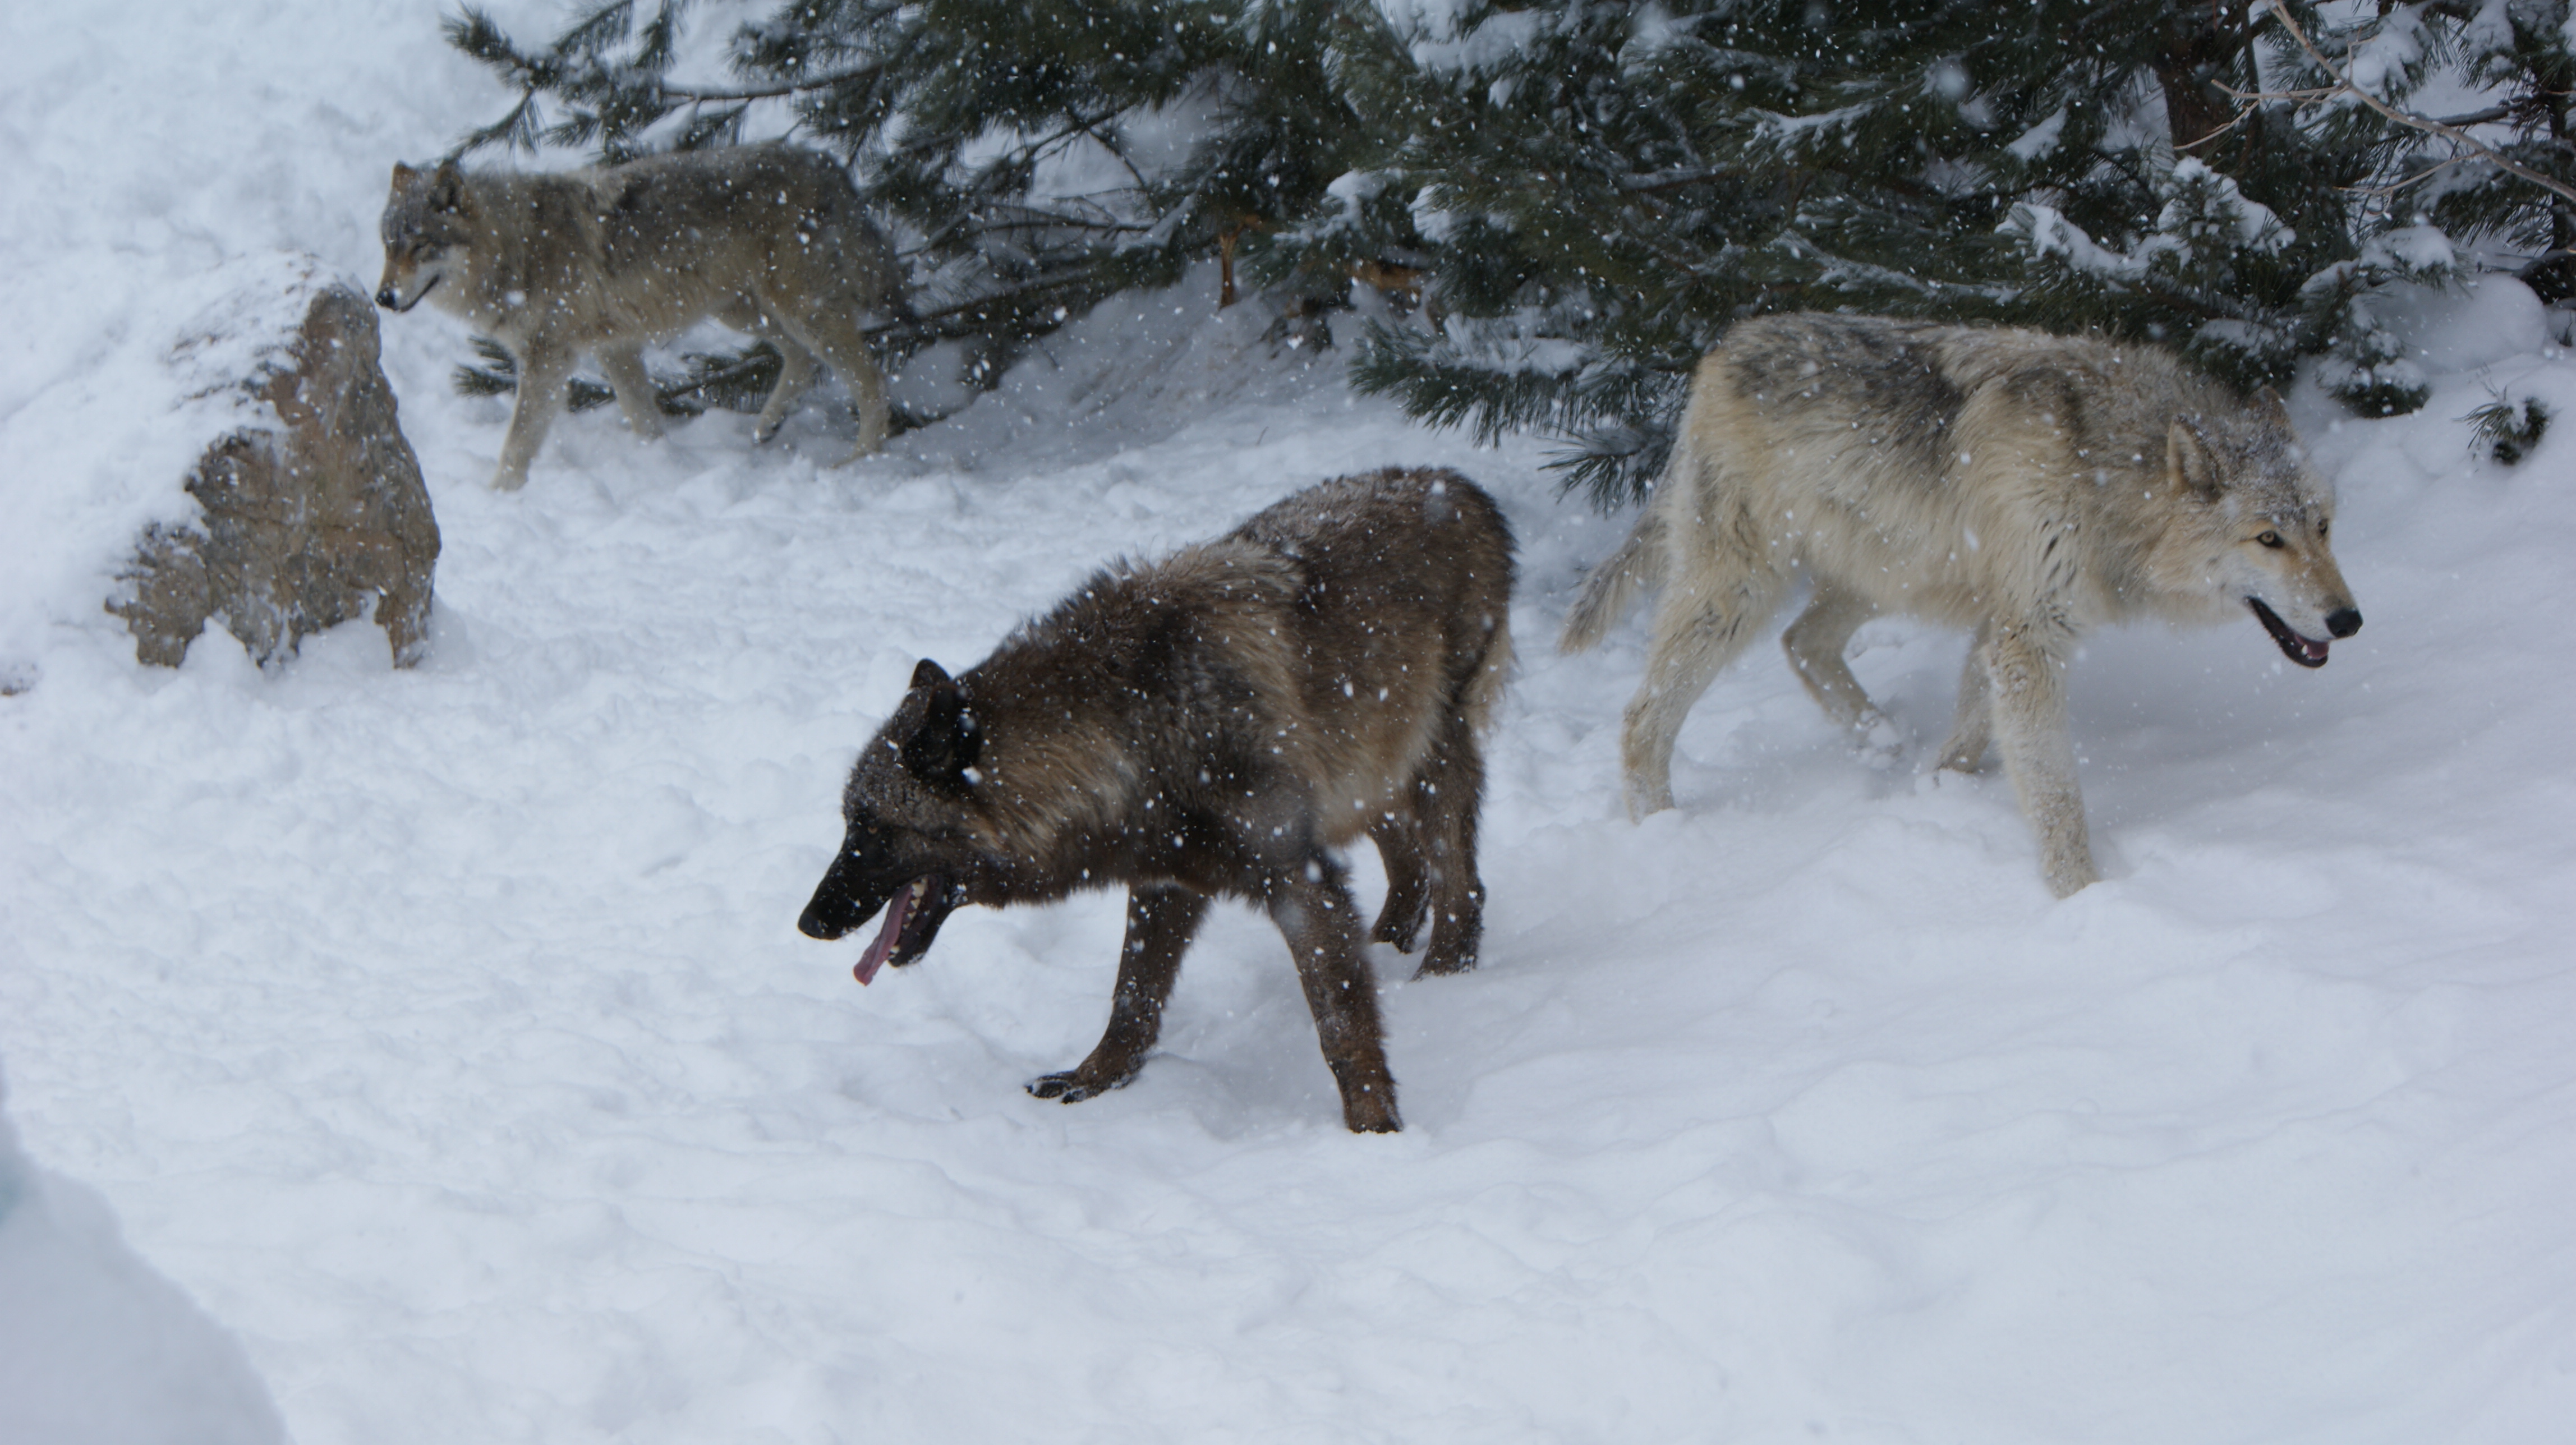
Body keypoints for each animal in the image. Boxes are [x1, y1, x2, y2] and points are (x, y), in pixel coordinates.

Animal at [373, 142, 896, 489]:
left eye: (420, 246)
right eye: (388, 246)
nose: (382, 298)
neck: (516, 250)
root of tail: (825, 161)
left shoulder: (548, 360)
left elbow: (516, 442)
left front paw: (500, 497)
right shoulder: (615, 348)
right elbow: (644, 419)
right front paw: (663, 465)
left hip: (798, 310)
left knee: (871, 379)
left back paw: (859, 461)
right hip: (747, 313)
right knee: (803, 361)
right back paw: (766, 426)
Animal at [798, 468, 1504, 1133]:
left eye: (870, 825)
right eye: (848, 822)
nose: (809, 922)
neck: (1138, 725)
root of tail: (1460, 485)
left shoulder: (1295, 877)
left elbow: (1338, 1026)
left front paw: (1374, 1129)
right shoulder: (1167, 877)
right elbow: (1131, 998)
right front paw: (1093, 1078)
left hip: (1428, 761)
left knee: (1460, 883)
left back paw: (1442, 977)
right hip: (1366, 774)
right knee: (1407, 862)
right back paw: (1386, 945)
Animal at [1556, 315, 2359, 896]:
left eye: (2322, 527)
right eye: (2267, 538)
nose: (2347, 620)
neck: (2102, 472)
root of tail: (1719, 350)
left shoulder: (2001, 624)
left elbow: (1971, 733)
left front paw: (1938, 792)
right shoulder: (2027, 636)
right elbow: (2056, 795)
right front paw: (2086, 898)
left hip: (1877, 575)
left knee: (1802, 642)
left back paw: (1881, 743)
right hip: (1739, 593)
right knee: (1642, 717)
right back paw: (1661, 832)